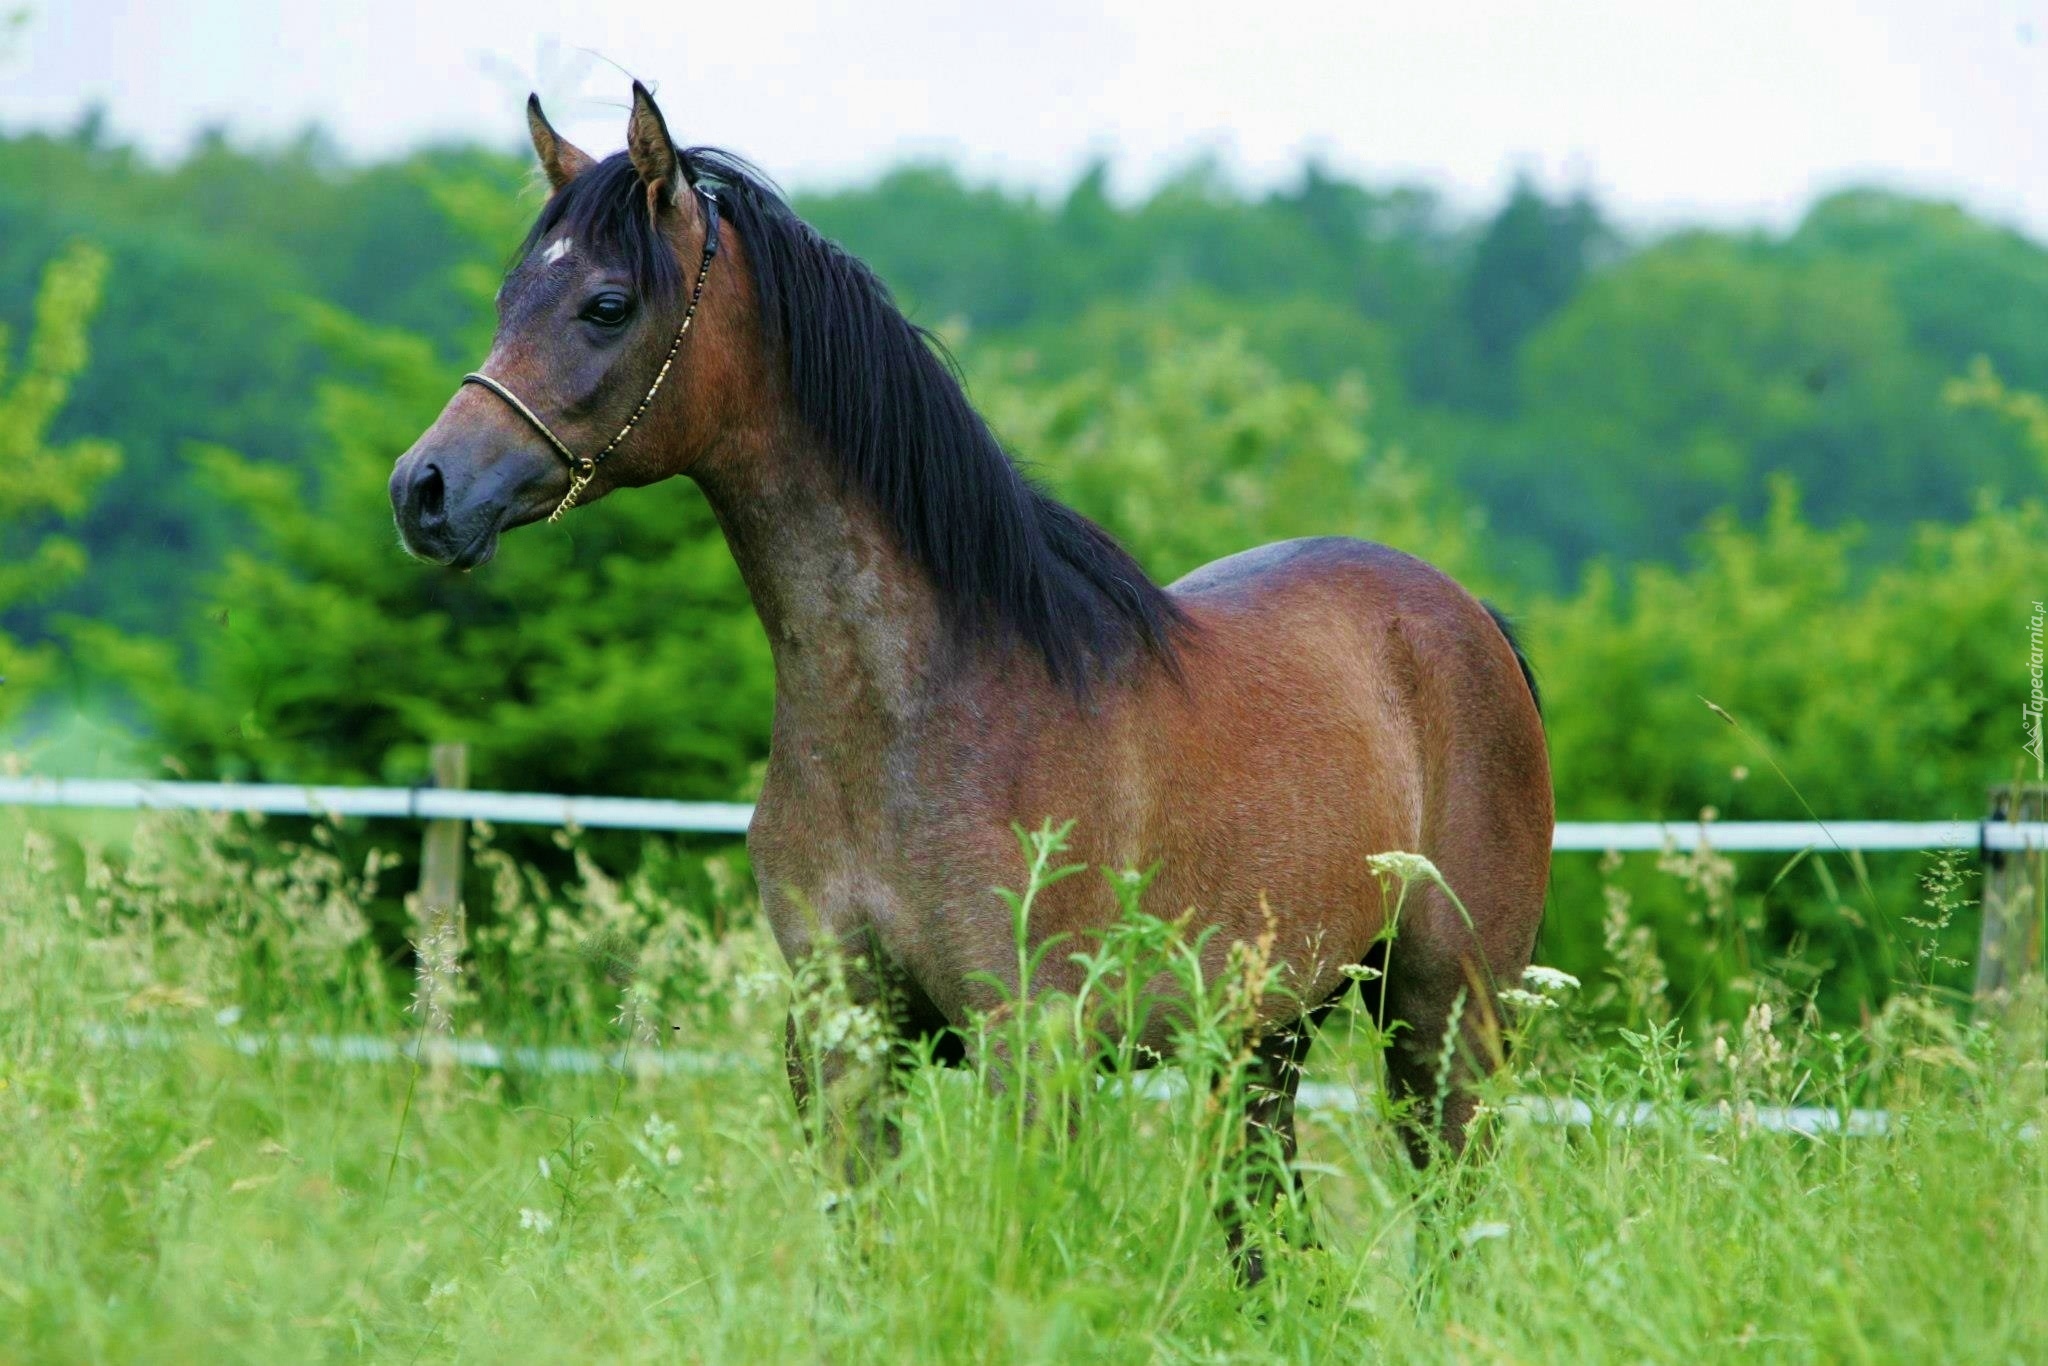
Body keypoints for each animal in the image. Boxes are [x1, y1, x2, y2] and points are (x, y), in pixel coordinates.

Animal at [387, 85, 1548, 1286]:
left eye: (607, 305)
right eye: (509, 296)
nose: (425, 490)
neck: (915, 708)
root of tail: (1469, 617)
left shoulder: (1029, 1049)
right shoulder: (844, 1042)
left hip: (1444, 1017)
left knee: (1451, 1214)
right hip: (1265, 1037)